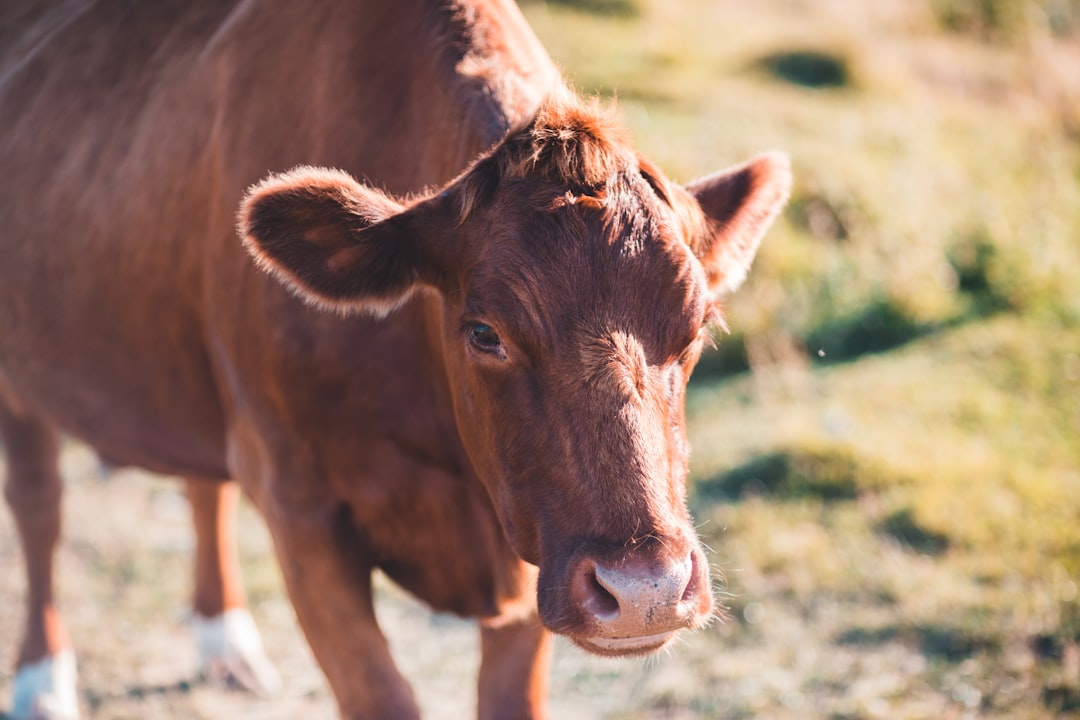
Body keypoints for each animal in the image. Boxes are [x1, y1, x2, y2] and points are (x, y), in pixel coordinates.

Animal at [2, 1, 794, 720]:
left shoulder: (527, 546)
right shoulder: (299, 508)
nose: (644, 592)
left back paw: (225, 645)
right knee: (41, 508)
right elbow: (381, 694)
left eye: (698, 329)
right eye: (484, 333)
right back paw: (42, 681)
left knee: (202, 487)